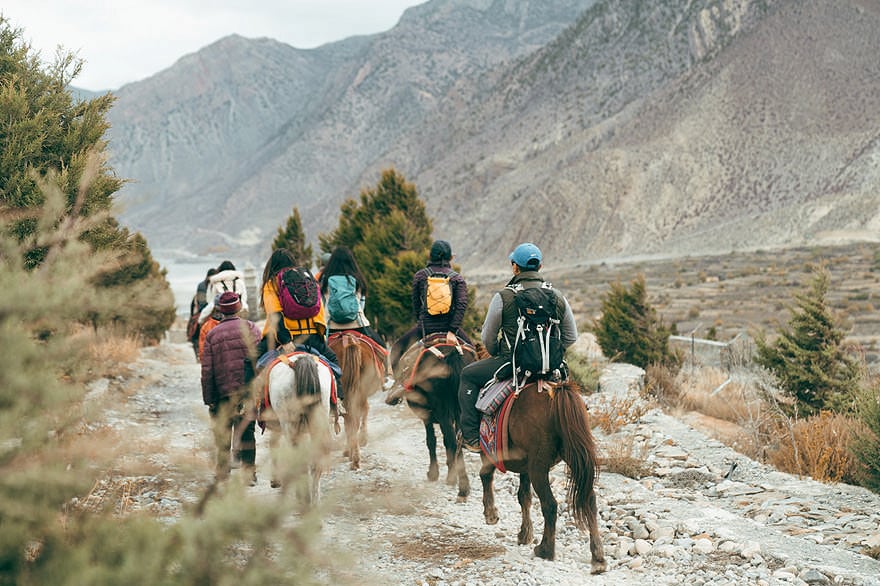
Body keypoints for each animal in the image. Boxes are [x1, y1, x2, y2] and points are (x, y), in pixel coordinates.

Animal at [262, 350, 336, 500]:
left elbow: (274, 444)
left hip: (289, 424)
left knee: (299, 462)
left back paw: (303, 497)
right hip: (317, 422)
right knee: (315, 461)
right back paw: (314, 499)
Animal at [326, 330, 384, 468]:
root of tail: (350, 341)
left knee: (351, 419)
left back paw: (353, 456)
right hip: (359, 392)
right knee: (356, 417)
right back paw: (356, 456)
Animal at [394, 334, 478, 498]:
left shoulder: (427, 417)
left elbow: (431, 441)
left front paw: (433, 473)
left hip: (443, 413)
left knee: (452, 441)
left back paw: (457, 481)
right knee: (457, 440)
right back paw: (462, 483)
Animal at [474, 376, 604, 572]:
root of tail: (558, 393)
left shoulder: (490, 453)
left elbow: (486, 476)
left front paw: (491, 514)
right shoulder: (525, 466)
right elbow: (524, 497)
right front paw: (525, 534)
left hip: (539, 466)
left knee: (550, 504)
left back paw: (545, 549)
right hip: (573, 458)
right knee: (589, 499)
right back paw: (598, 557)